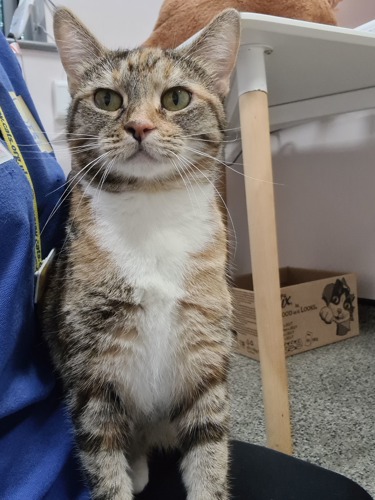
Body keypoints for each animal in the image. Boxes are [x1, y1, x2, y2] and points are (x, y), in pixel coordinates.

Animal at [41, 8, 241, 500]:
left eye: (176, 98)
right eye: (107, 99)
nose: (140, 127)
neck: (152, 210)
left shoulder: (206, 356)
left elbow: (210, 450)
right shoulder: (91, 373)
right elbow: (102, 461)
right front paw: (119, 478)